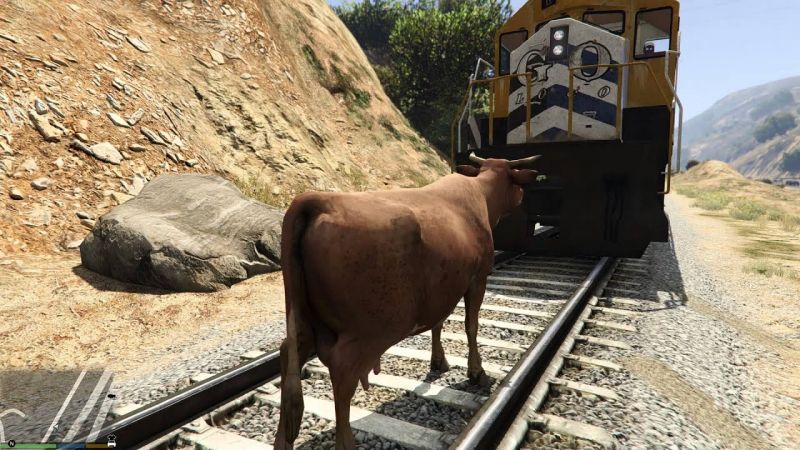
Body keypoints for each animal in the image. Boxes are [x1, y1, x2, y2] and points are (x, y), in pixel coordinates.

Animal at [274, 153, 541, 450]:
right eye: (515, 179)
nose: (522, 195)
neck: (480, 194)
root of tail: (319, 199)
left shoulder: (442, 289)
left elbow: (438, 323)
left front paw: (438, 361)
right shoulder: (478, 278)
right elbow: (471, 326)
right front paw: (476, 372)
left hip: (304, 318)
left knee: (288, 355)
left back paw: (281, 441)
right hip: (371, 329)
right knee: (342, 371)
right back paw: (347, 442)